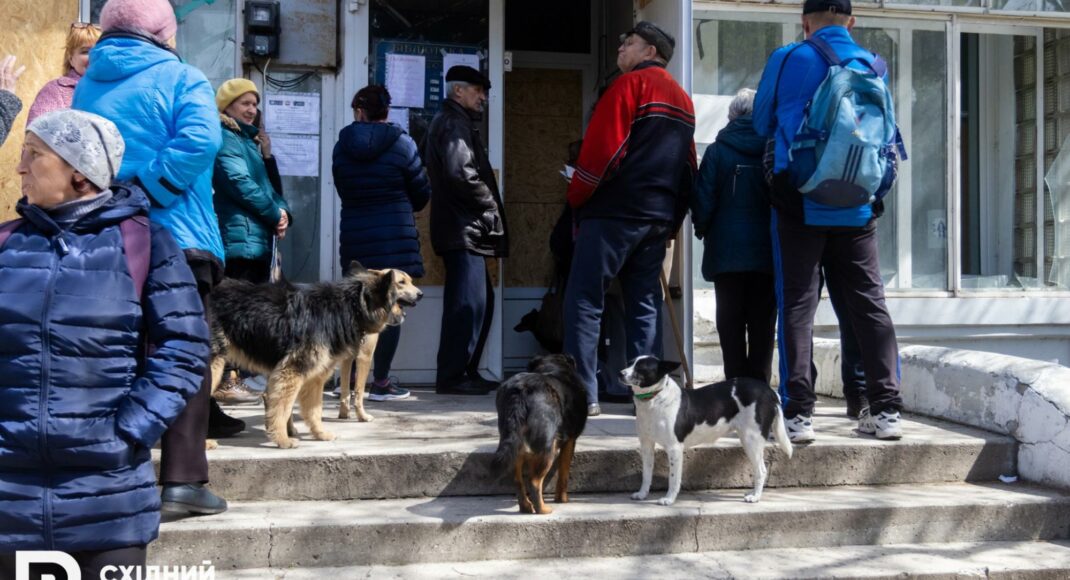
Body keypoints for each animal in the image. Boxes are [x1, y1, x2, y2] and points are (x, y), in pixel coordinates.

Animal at [208, 263, 421, 449]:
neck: (350, 306)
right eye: (401, 283)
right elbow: (282, 408)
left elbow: (314, 410)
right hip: (213, 367)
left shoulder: (314, 378)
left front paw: (320, 434)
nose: (421, 294)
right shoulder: (291, 372)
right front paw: (282, 440)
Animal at [490, 355, 586, 513]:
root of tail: (521, 390)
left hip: (515, 443)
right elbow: (564, 472)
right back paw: (543, 509)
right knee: (534, 482)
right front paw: (562, 499)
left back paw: (526, 506)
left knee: (518, 480)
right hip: (548, 446)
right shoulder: (570, 440)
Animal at [620, 355, 796, 505]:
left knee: (761, 470)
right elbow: (646, 474)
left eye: (641, 368)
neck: (654, 399)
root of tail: (770, 391)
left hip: (752, 439)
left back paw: (755, 497)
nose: (620, 373)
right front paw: (642, 494)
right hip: (748, 439)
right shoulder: (646, 445)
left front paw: (669, 499)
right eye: (630, 363)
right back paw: (752, 493)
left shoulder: (674, 449)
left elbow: (673, 478)